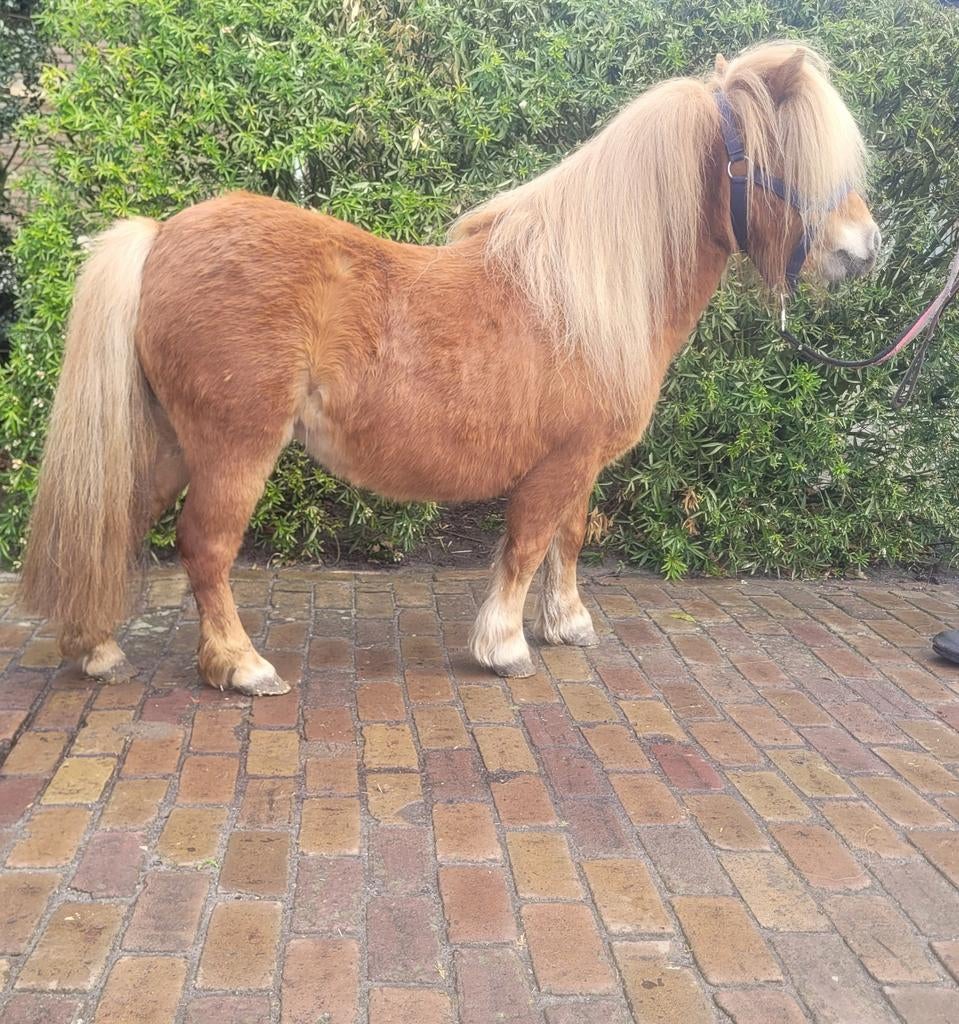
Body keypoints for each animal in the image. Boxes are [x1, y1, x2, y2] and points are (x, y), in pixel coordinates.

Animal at [20, 42, 880, 696]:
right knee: (204, 547)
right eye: (792, 157)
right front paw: (503, 646)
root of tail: (161, 237)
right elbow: (527, 545)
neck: (587, 289)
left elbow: (569, 538)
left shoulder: (579, 462)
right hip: (235, 448)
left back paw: (97, 650)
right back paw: (241, 666)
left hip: (170, 442)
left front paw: (567, 624)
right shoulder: (557, 464)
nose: (862, 248)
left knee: (121, 520)